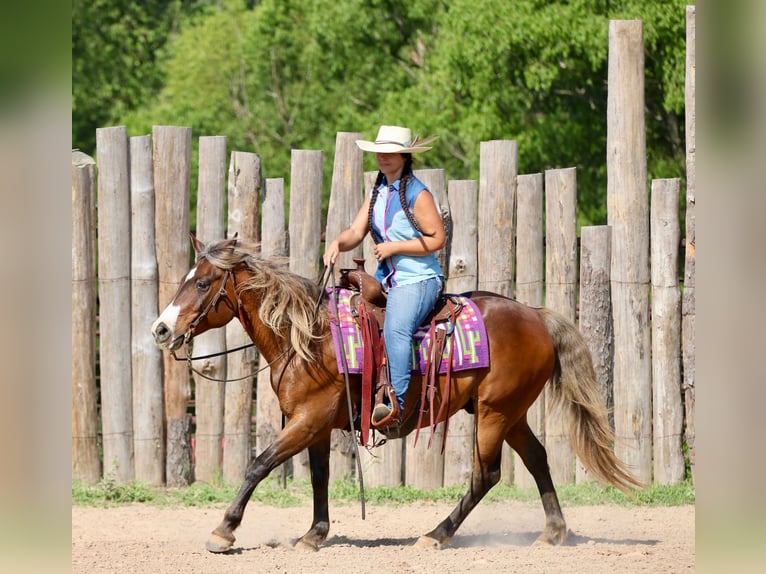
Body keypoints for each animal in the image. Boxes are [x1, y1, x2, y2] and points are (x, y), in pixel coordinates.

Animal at [151, 235, 642, 553]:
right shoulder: (314, 426)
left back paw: (437, 535)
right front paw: (314, 534)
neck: (308, 338)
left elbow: (258, 465)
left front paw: (223, 531)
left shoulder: (307, 420)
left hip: (494, 413)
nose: (161, 329)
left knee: (486, 475)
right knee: (536, 459)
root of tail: (536, 315)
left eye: (201, 283)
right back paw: (553, 532)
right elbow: (318, 477)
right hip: (510, 412)